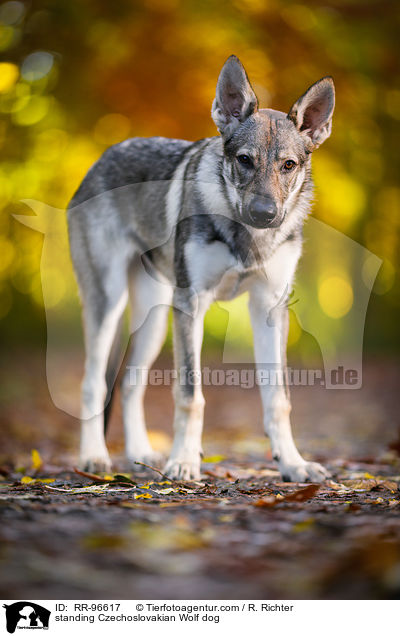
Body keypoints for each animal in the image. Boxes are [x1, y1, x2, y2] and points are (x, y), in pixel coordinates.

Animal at [68, 56, 334, 482]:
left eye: (288, 165)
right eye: (244, 160)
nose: (265, 214)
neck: (246, 237)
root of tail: (104, 156)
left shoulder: (269, 310)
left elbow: (278, 399)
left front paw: (293, 464)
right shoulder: (192, 305)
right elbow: (191, 395)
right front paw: (184, 462)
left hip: (155, 320)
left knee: (130, 384)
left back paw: (141, 454)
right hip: (110, 304)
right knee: (93, 383)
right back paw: (94, 457)